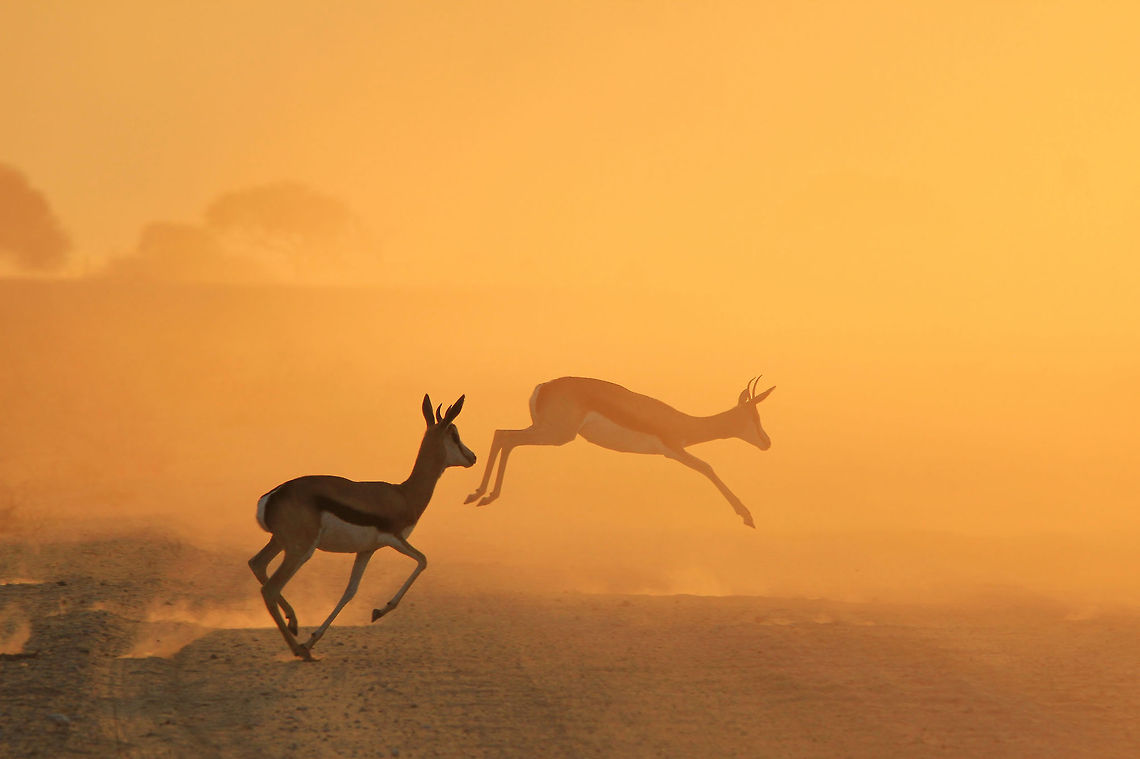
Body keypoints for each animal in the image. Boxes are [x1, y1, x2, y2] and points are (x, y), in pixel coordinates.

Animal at [249, 394, 475, 661]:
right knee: (270, 589)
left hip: (280, 542)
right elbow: (423, 560)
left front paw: (313, 639)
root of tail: (273, 496)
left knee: (257, 564)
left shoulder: (367, 550)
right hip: (300, 550)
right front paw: (379, 611)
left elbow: (350, 591)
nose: (472, 457)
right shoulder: (394, 539)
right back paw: (299, 651)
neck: (404, 494)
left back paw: (295, 627)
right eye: (454, 434)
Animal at [464, 377, 774, 527]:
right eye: (754, 417)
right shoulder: (674, 449)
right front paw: (747, 516)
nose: (767, 442)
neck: (681, 421)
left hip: (544, 430)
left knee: (502, 435)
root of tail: (543, 387)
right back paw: (482, 496)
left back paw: (479, 495)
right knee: (507, 438)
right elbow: (707, 467)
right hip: (555, 435)